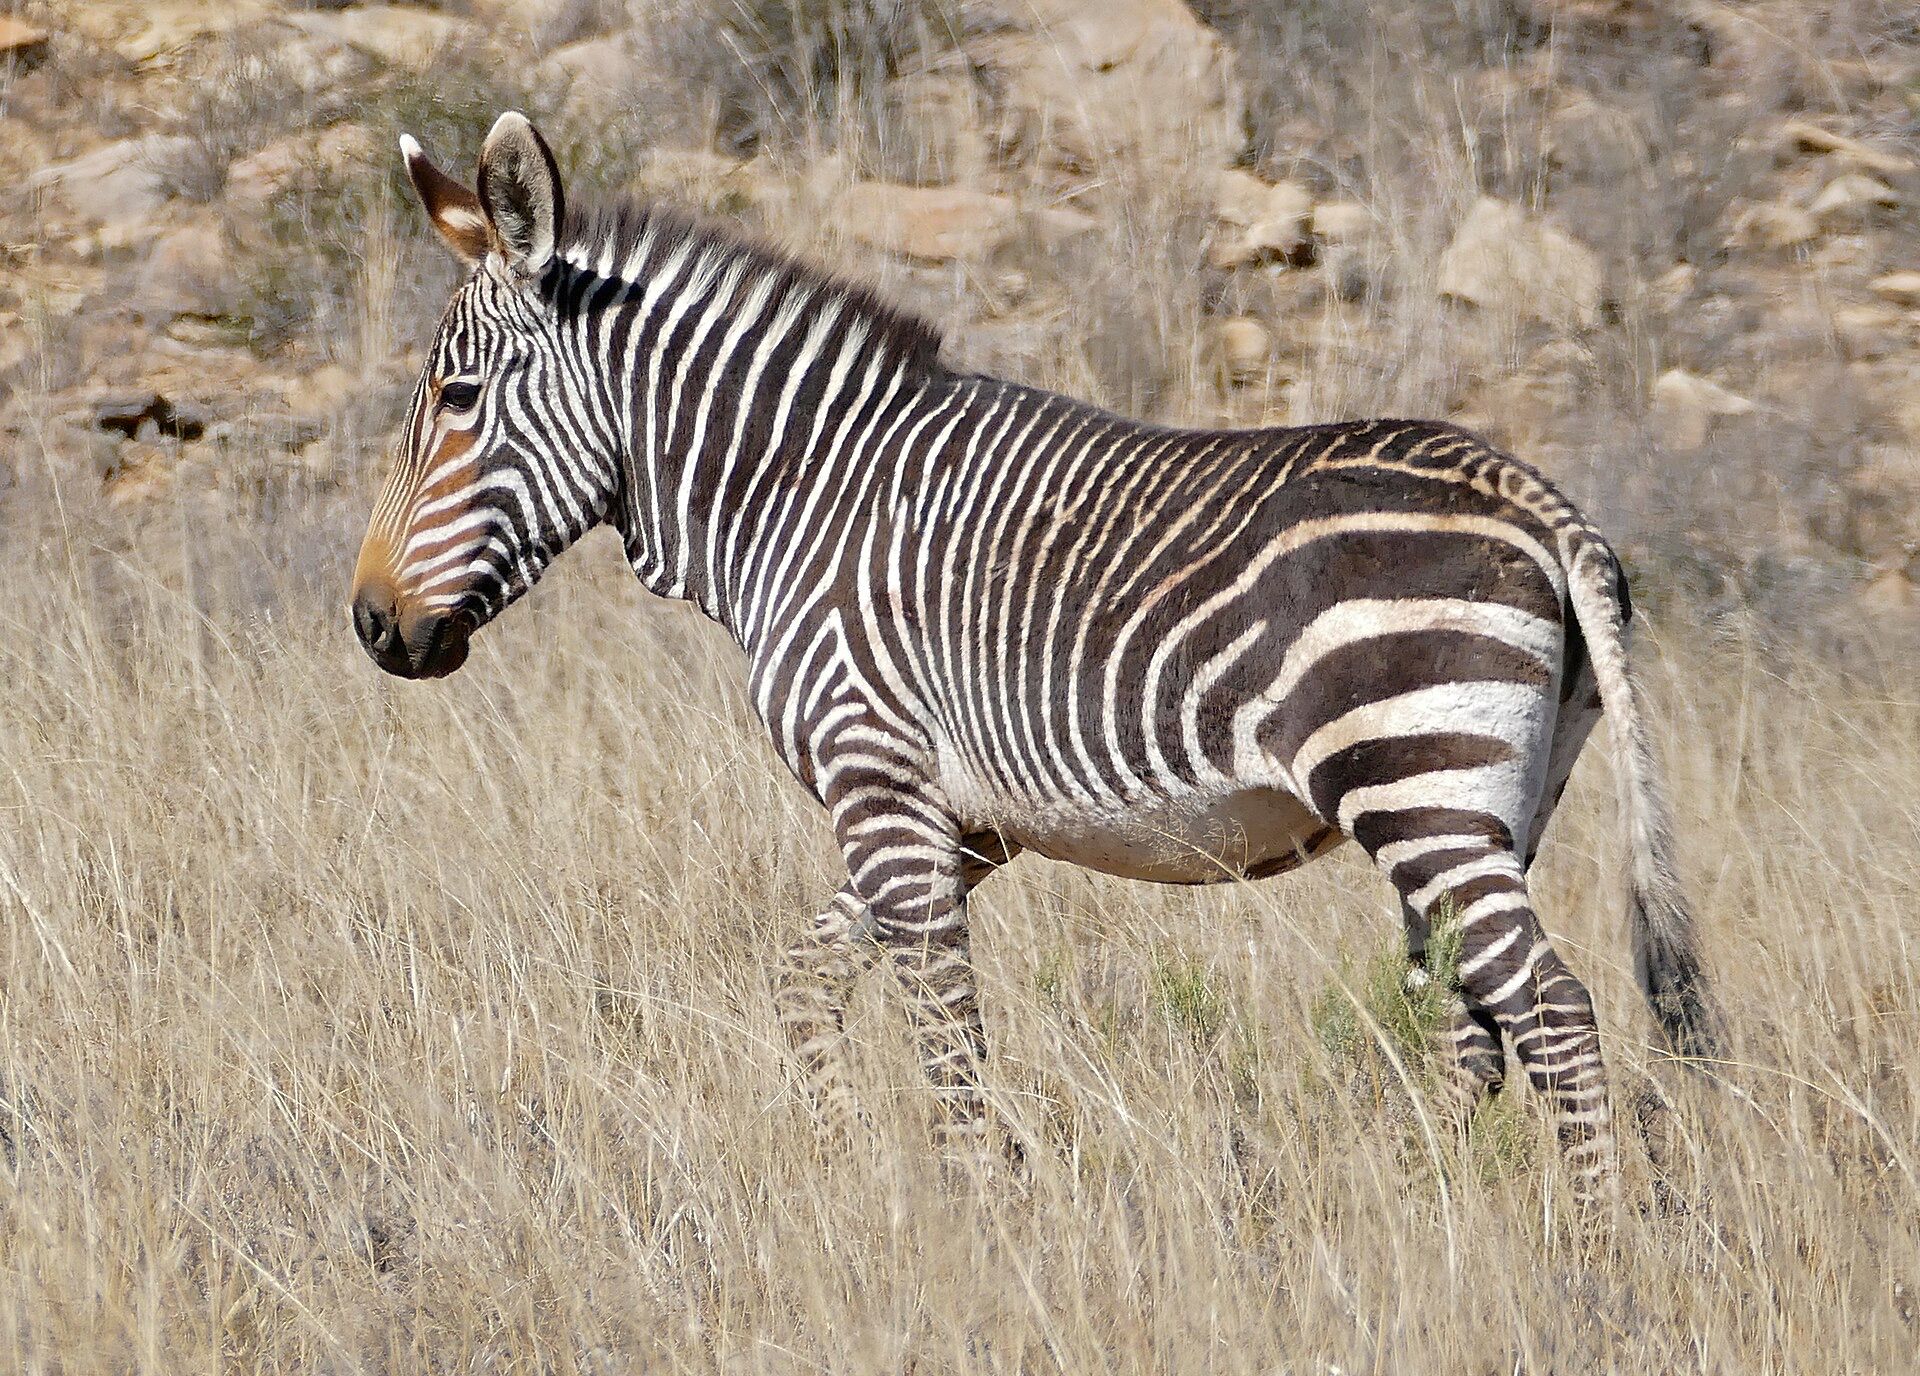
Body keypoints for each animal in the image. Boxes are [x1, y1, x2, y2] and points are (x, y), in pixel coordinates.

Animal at [350, 112, 1719, 1206]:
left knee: (1552, 1013)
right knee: (1473, 1027)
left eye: (457, 398)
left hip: (1418, 779)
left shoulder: (879, 784)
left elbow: (946, 1035)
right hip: (1493, 800)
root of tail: (1536, 499)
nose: (372, 623)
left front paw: (974, 1220)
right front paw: (852, 1160)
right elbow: (808, 981)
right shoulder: (961, 818)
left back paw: (1599, 1247)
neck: (804, 499)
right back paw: (1415, 1211)